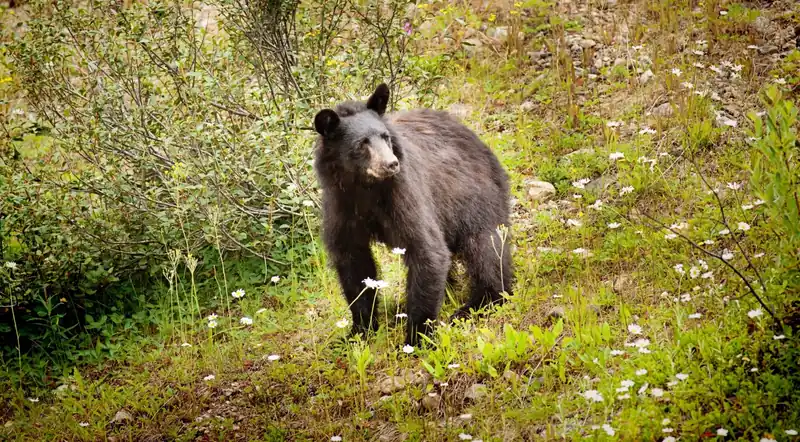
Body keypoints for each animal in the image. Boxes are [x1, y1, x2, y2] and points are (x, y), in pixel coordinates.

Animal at [312, 83, 513, 347]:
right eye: (362, 143)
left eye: (385, 137)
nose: (391, 164)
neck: (365, 189)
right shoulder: (340, 206)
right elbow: (354, 265)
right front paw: (359, 331)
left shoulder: (403, 194)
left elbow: (427, 250)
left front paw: (416, 338)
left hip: (475, 194)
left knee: (486, 248)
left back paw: (476, 304)